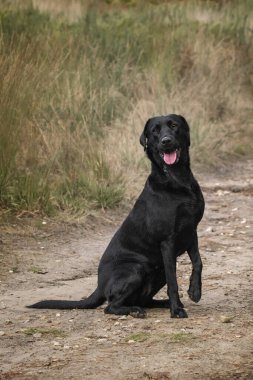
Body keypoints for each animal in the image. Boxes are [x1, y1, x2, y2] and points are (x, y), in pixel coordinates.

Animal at [28, 114, 205, 320]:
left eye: (174, 125)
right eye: (155, 131)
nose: (166, 141)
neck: (177, 179)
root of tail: (99, 286)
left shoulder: (191, 231)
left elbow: (198, 262)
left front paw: (195, 291)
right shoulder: (167, 240)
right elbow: (173, 282)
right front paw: (176, 310)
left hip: (157, 270)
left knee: (143, 300)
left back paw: (160, 303)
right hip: (135, 268)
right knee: (111, 306)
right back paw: (136, 310)